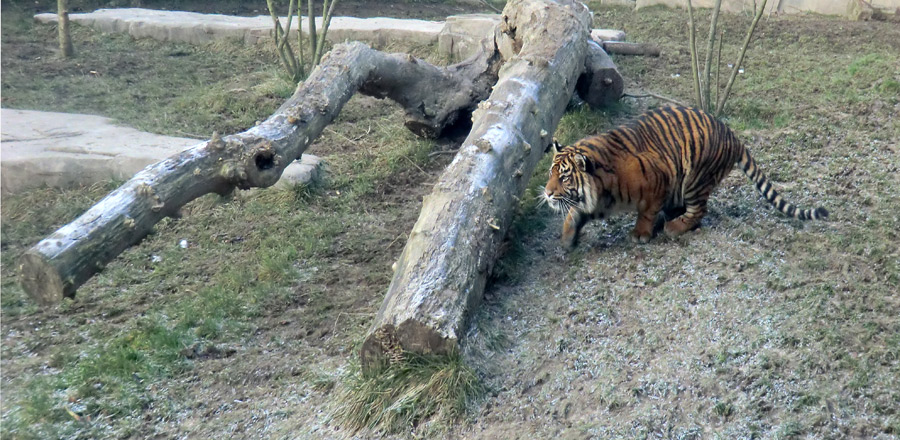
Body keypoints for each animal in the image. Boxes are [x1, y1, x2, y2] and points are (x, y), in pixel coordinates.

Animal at [540, 104, 828, 248]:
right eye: (551, 174)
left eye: (564, 178)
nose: (547, 193)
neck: (600, 186)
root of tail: (733, 135)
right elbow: (573, 214)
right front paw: (567, 240)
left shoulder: (658, 180)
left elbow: (646, 212)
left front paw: (640, 234)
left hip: (694, 179)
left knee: (699, 210)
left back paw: (674, 227)